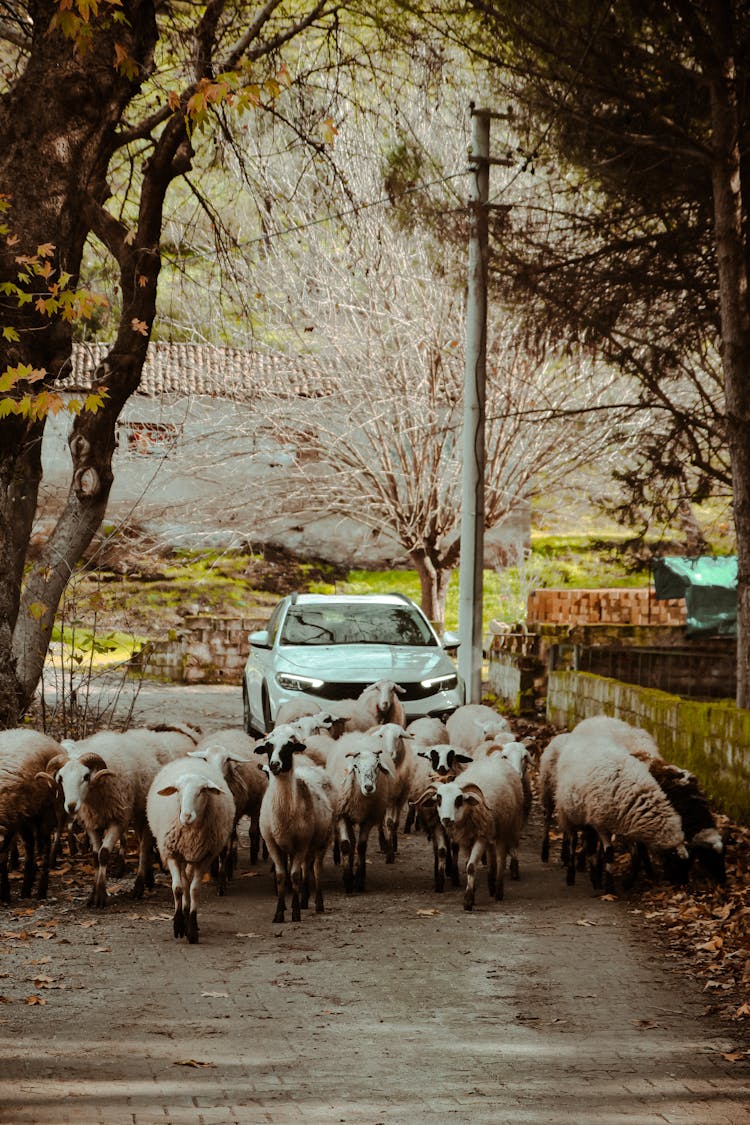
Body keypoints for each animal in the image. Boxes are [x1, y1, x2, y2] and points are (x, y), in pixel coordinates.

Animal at [251, 729, 335, 922]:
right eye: (268, 746)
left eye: (288, 747)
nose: (274, 764)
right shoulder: (272, 844)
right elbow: (281, 876)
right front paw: (279, 913)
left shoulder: (301, 844)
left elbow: (295, 875)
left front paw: (295, 912)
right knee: (306, 868)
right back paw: (304, 900)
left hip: (321, 842)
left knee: (316, 870)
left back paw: (318, 903)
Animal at [425, 751, 526, 909]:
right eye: (439, 799)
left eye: (458, 799)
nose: (446, 819)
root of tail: (495, 759)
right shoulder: (468, 839)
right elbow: (468, 864)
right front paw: (472, 893)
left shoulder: (481, 836)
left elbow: (471, 866)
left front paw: (468, 900)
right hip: (492, 830)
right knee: (492, 857)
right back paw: (491, 884)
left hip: (505, 828)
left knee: (501, 858)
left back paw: (498, 890)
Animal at [555, 729, 688, 895]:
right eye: (675, 863)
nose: (684, 885)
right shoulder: (601, 825)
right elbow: (610, 854)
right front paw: (609, 887)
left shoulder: (624, 825)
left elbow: (636, 855)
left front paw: (627, 883)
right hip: (568, 813)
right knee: (573, 842)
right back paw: (571, 876)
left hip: (586, 817)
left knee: (590, 846)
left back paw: (594, 877)